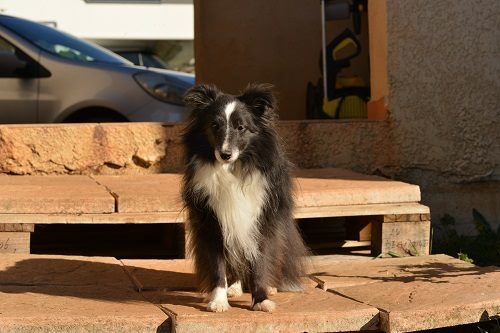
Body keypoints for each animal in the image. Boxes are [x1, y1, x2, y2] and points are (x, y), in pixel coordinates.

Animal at [181, 83, 304, 312]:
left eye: (241, 127)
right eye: (214, 125)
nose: (225, 154)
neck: (233, 168)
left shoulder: (262, 216)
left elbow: (260, 259)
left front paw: (262, 301)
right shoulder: (211, 218)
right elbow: (217, 264)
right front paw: (218, 302)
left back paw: (270, 287)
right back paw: (234, 288)